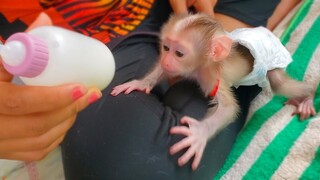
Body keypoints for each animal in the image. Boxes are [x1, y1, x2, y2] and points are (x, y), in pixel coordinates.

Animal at [110, 13, 316, 170]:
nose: (166, 60)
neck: (200, 66)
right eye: (166, 48)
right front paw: (140, 83)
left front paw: (198, 134)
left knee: (280, 84)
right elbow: (164, 72)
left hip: (272, 62)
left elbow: (229, 109)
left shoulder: (212, 76)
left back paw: (308, 97)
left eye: (179, 53)